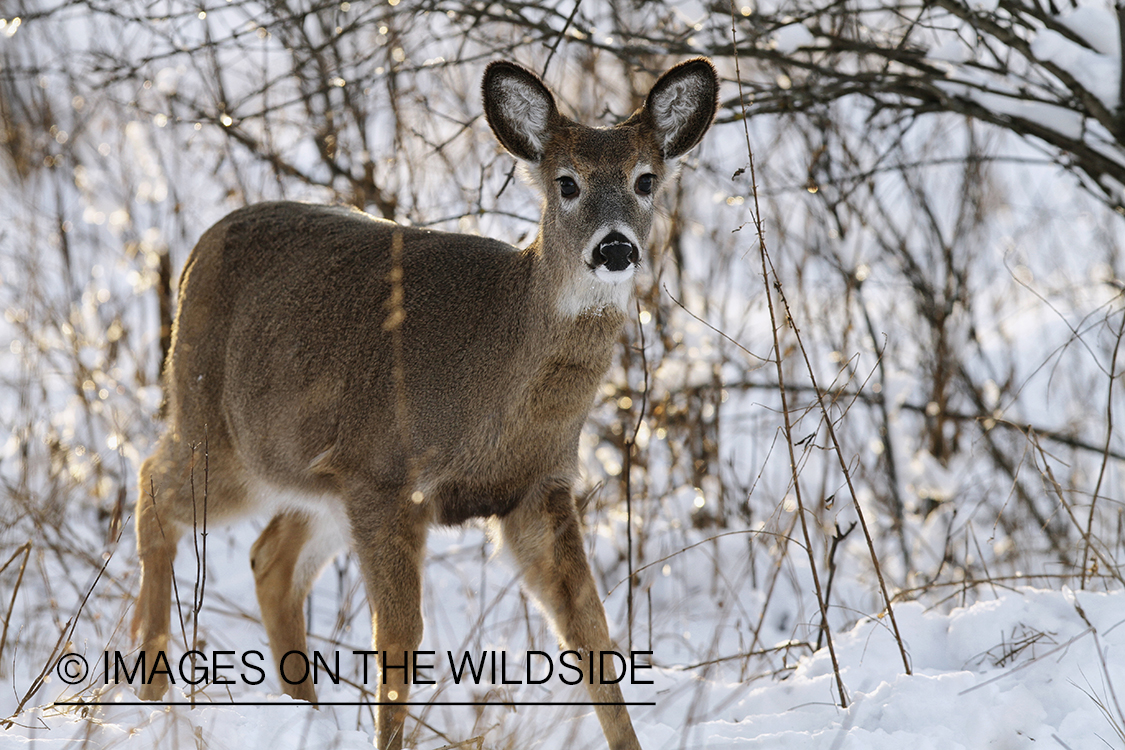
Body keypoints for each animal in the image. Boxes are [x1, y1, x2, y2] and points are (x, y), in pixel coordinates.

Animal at [129, 60, 711, 750]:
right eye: (566, 183)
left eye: (645, 180)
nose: (615, 247)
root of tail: (196, 249)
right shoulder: (385, 474)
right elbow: (400, 640)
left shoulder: (536, 487)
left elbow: (591, 630)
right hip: (220, 433)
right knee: (154, 488)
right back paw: (149, 688)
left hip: (313, 478)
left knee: (269, 557)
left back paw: (305, 712)